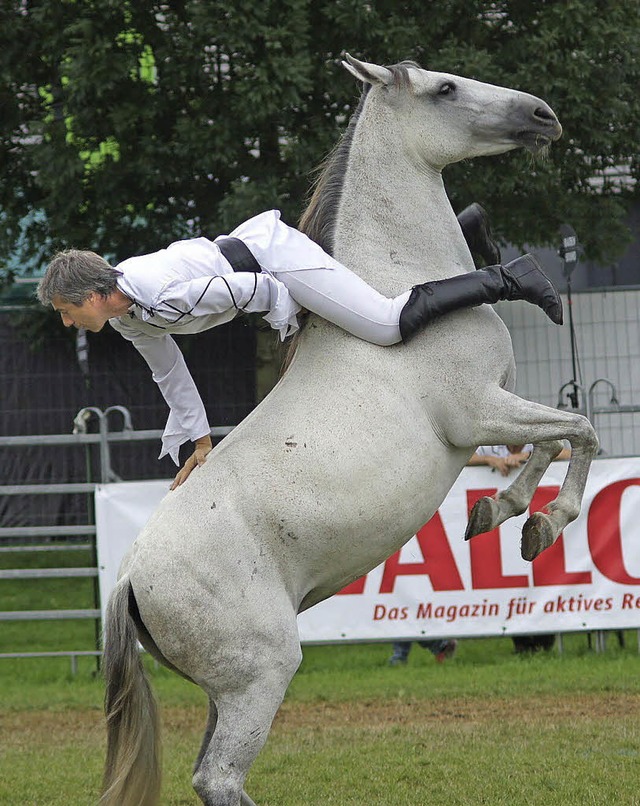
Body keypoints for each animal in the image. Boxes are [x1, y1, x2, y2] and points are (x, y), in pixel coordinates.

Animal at [100, 56, 600, 806]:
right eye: (444, 89)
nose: (542, 115)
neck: (396, 286)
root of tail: (128, 577)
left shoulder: (495, 407)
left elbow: (548, 441)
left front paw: (502, 513)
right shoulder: (478, 410)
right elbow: (580, 429)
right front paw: (542, 520)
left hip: (224, 690)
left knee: (209, 776)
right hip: (259, 676)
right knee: (220, 777)